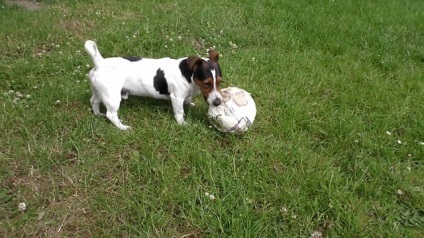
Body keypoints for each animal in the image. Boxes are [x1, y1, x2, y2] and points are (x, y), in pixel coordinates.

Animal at [82, 40, 222, 130]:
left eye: (220, 82)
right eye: (206, 83)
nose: (218, 102)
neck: (187, 74)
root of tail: (100, 63)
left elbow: (188, 99)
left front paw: (189, 103)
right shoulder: (177, 98)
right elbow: (179, 112)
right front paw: (183, 124)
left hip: (99, 91)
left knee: (94, 101)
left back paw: (97, 114)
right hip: (112, 97)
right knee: (111, 115)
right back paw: (123, 127)